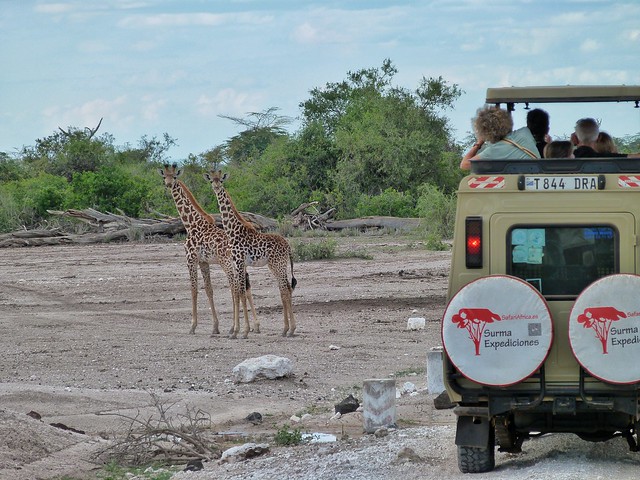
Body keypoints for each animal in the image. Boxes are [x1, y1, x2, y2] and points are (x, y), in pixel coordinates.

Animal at [158, 163, 258, 336]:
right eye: (165, 176)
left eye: (175, 176)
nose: (169, 184)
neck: (191, 224)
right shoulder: (204, 262)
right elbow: (209, 290)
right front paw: (215, 327)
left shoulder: (190, 259)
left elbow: (194, 289)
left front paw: (192, 326)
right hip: (239, 265)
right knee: (243, 287)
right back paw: (251, 326)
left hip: (227, 263)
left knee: (235, 288)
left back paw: (236, 328)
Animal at [202, 169, 298, 338]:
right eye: (211, 180)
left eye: (221, 180)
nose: (216, 186)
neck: (232, 230)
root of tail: (288, 246)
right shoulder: (236, 263)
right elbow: (239, 292)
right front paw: (237, 331)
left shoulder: (240, 262)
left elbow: (240, 292)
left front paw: (242, 331)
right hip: (276, 265)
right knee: (285, 288)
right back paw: (286, 329)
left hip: (277, 264)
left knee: (285, 289)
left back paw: (290, 329)